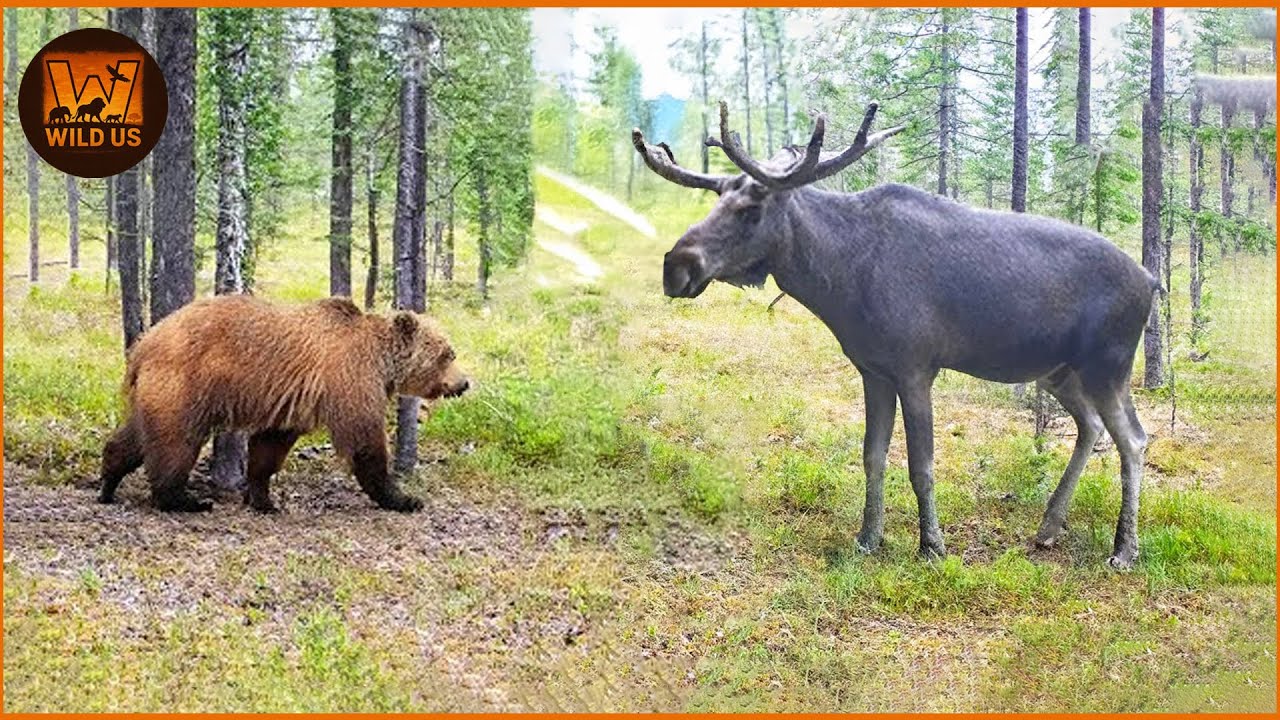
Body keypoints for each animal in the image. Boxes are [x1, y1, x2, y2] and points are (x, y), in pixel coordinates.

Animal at [97, 295, 471, 513]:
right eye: (447, 354)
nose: (464, 383)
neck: (382, 362)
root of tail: (143, 344)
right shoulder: (351, 380)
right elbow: (365, 442)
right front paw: (404, 498)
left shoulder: (291, 402)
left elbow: (269, 446)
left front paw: (263, 499)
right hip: (186, 385)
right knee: (176, 441)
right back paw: (185, 500)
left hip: (158, 392)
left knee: (138, 436)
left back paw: (108, 482)